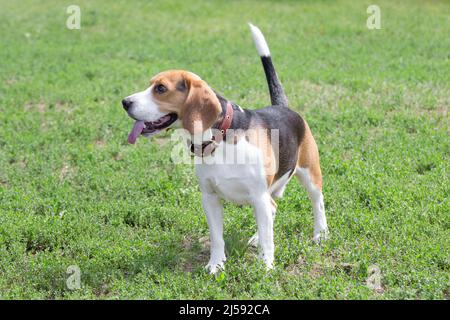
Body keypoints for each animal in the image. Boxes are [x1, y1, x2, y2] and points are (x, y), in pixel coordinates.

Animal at [121, 23, 328, 272]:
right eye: (150, 84)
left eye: (160, 88)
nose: (125, 102)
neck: (218, 139)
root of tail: (282, 106)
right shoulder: (209, 198)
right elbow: (216, 237)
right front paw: (216, 265)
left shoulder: (258, 195)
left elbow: (269, 238)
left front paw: (266, 267)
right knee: (272, 209)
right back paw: (256, 237)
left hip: (309, 173)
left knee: (317, 203)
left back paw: (320, 234)